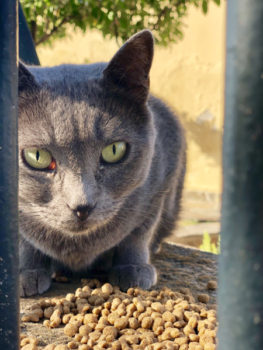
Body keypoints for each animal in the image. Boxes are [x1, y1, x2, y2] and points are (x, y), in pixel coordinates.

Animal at [18, 30, 187, 298]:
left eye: (114, 151)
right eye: (37, 156)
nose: (82, 207)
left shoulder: (162, 178)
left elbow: (139, 232)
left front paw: (133, 268)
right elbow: (24, 240)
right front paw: (26, 272)